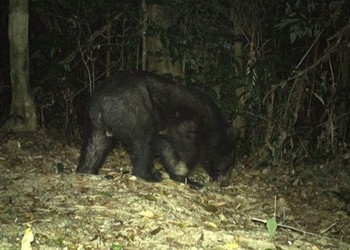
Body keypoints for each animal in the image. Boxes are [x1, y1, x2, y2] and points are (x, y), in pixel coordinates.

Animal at [75, 71, 237, 187]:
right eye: (226, 167)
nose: (225, 183)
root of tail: (101, 104)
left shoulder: (166, 130)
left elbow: (167, 149)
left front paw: (187, 180)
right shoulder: (188, 120)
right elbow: (183, 145)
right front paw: (183, 168)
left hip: (96, 124)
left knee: (96, 145)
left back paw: (87, 171)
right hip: (135, 110)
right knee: (143, 142)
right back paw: (149, 175)